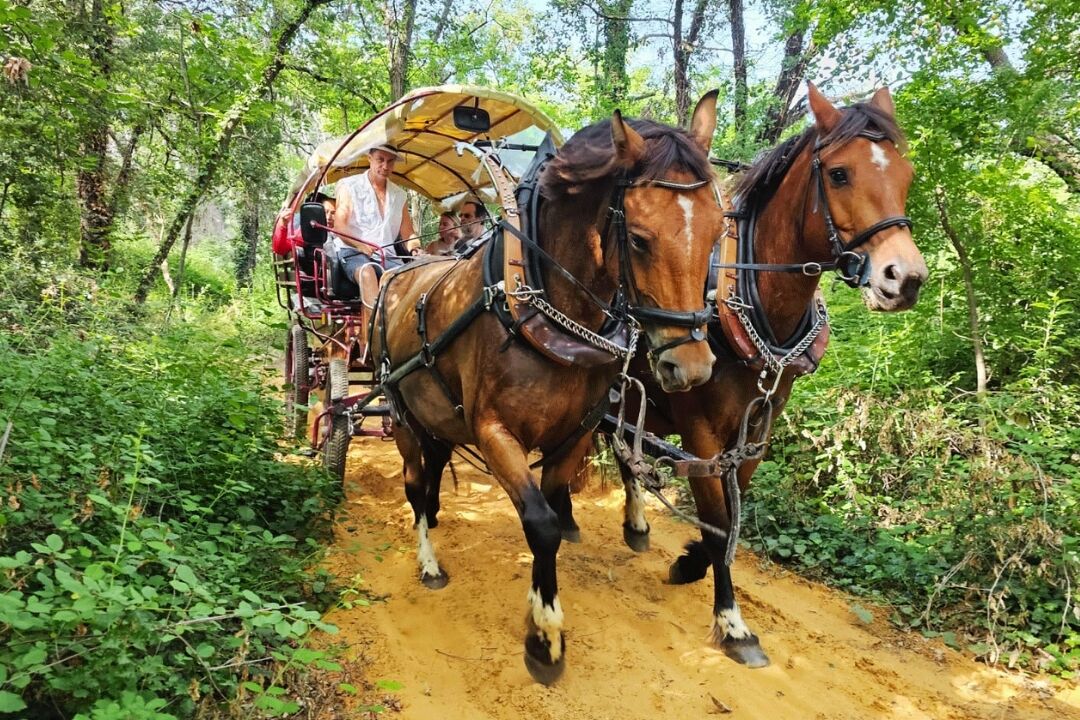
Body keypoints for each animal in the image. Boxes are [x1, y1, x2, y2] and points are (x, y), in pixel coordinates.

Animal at [370, 94, 728, 684]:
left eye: (720, 232)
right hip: (399, 412)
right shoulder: (493, 431)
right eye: (638, 239)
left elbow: (557, 509)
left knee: (434, 467)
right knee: (415, 484)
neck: (548, 308)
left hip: (436, 413)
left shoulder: (576, 433)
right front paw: (544, 637)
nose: (692, 367)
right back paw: (428, 560)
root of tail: (394, 274)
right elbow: (540, 523)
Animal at [612, 83, 929, 667]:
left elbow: (733, 509)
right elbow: (719, 522)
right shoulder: (702, 430)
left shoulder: (759, 428)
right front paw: (732, 623)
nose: (906, 278)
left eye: (906, 174)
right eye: (839, 174)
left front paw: (690, 562)